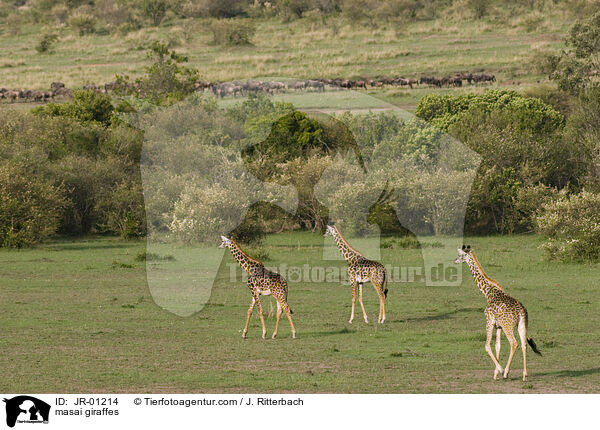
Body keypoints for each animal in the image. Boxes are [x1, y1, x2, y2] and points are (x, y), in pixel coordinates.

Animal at [454, 245, 544, 380]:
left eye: (461, 255)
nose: (455, 261)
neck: (488, 293)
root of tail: (521, 312)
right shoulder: (499, 326)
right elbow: (498, 346)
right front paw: (496, 373)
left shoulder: (489, 321)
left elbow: (487, 346)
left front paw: (500, 371)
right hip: (522, 325)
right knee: (524, 344)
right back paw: (524, 375)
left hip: (508, 326)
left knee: (514, 343)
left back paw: (506, 372)